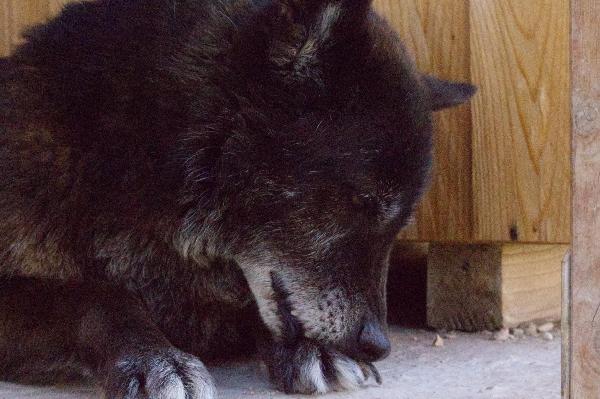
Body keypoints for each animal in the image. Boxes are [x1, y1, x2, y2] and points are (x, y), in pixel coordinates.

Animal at [0, 1, 474, 398]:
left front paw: (315, 350)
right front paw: (156, 358)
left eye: (398, 225)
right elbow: (98, 298)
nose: (378, 345)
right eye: (364, 200)